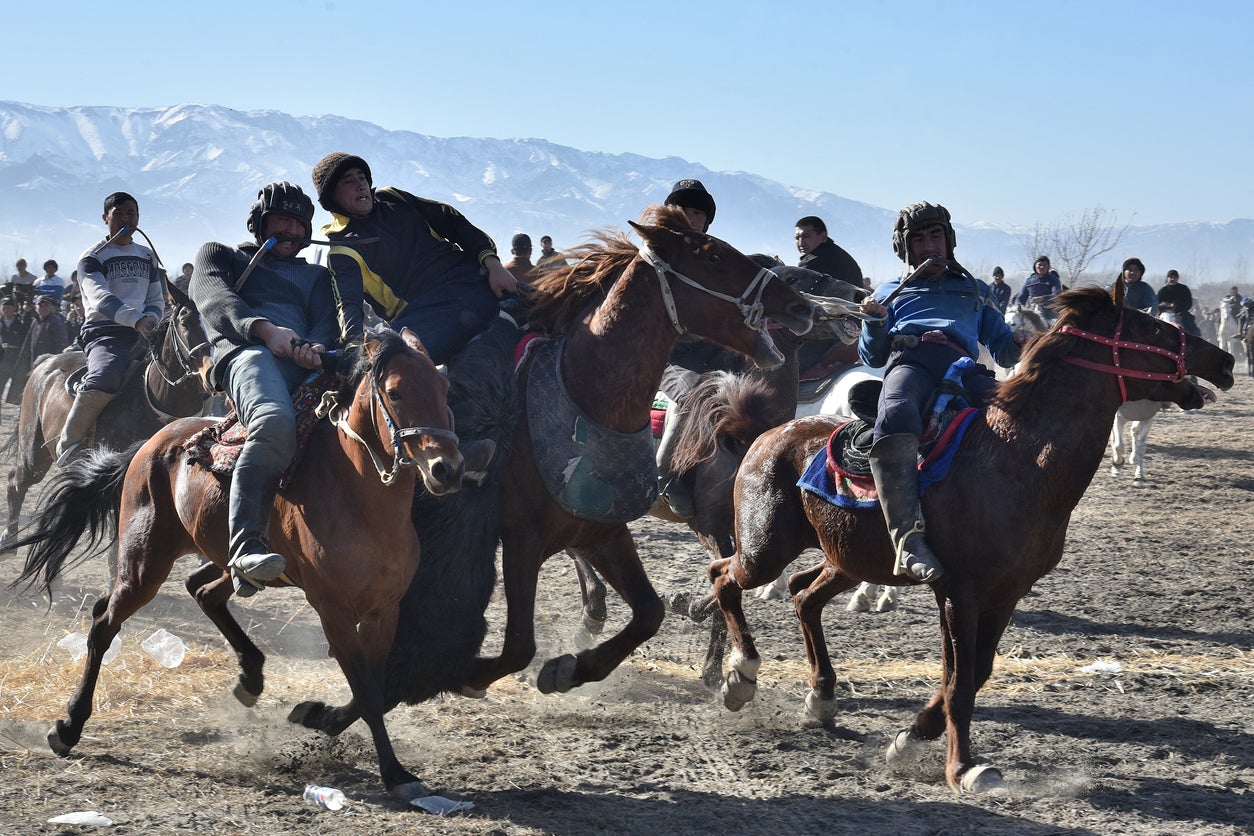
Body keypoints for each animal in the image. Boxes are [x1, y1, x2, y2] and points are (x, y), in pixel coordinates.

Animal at [2, 279, 210, 548]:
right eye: (185, 320)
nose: (211, 368)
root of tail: (46, 363)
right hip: (33, 453)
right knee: (15, 483)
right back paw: (8, 540)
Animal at [13, 328, 466, 802]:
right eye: (394, 392)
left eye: (444, 389)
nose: (447, 469)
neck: (359, 498)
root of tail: (151, 444)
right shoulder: (334, 611)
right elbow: (367, 691)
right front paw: (394, 773)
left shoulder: (384, 610)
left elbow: (372, 690)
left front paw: (319, 717)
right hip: (143, 564)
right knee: (104, 623)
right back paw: (68, 727)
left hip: (229, 560)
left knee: (201, 590)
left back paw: (250, 675)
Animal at [707, 290, 1233, 797]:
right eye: (1150, 327)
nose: (1224, 359)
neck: (1019, 459)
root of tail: (771, 433)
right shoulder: (959, 591)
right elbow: (959, 682)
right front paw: (963, 768)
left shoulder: (1005, 595)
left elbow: (972, 675)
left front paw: (909, 738)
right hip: (764, 550)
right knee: (724, 577)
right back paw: (741, 676)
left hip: (848, 559)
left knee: (803, 595)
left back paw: (820, 698)